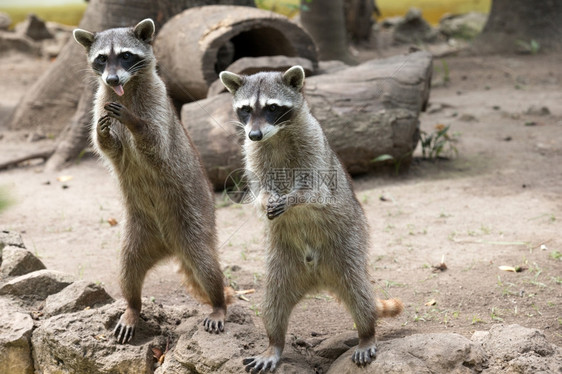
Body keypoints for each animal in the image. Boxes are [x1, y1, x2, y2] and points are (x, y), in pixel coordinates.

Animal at [73, 19, 229, 344]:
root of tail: (170, 247)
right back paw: (133, 307)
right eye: (102, 59)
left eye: (126, 56)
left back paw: (218, 302)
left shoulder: (158, 106)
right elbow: (107, 146)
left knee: (208, 266)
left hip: (196, 222)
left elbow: (156, 143)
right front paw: (104, 134)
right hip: (137, 234)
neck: (126, 88)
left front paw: (134, 122)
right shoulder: (101, 101)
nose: (112, 78)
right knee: (128, 270)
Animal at [220, 66, 402, 372]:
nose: (255, 134)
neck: (275, 136)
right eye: (245, 110)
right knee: (273, 304)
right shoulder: (252, 153)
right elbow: (258, 191)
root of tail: (316, 278)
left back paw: (366, 333)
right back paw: (274, 343)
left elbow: (318, 191)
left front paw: (294, 198)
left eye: (272, 108)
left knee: (359, 294)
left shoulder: (314, 144)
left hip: (349, 244)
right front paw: (267, 198)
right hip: (280, 264)